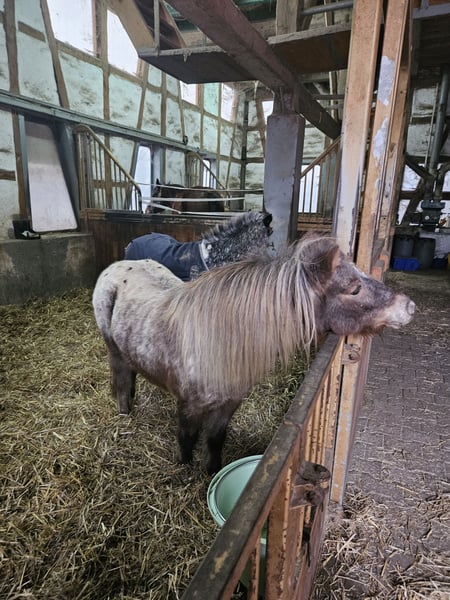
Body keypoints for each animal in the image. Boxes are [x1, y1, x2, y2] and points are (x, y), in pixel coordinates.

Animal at [92, 234, 416, 475]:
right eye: (354, 289)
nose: (408, 307)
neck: (220, 341)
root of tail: (117, 265)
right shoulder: (188, 406)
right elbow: (186, 440)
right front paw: (185, 472)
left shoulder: (229, 403)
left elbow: (215, 439)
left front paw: (212, 471)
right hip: (113, 350)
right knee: (122, 381)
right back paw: (125, 414)